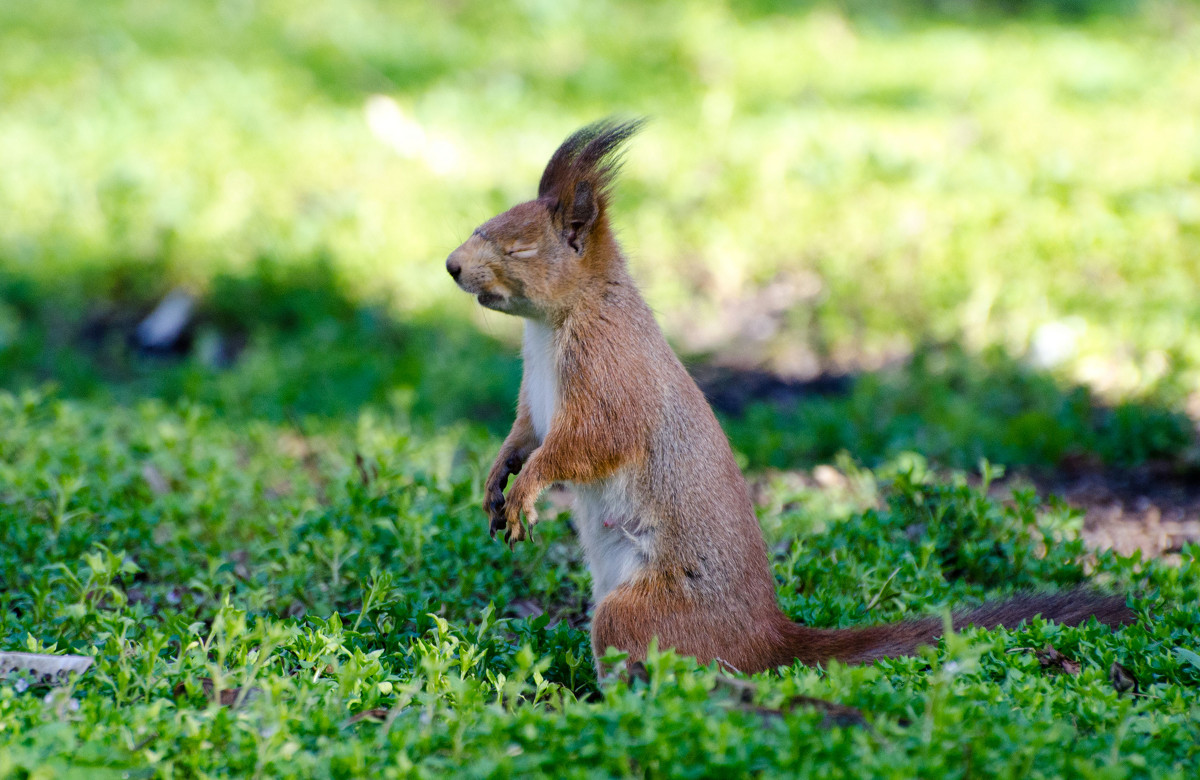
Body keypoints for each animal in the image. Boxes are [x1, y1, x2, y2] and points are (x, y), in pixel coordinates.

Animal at [444, 118, 1132, 672]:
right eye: (483, 224)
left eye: (518, 246)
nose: (451, 266)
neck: (552, 325)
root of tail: (766, 640)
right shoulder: (534, 396)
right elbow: (524, 433)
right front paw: (498, 478)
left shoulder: (611, 373)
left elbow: (589, 442)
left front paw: (529, 489)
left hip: (642, 612)